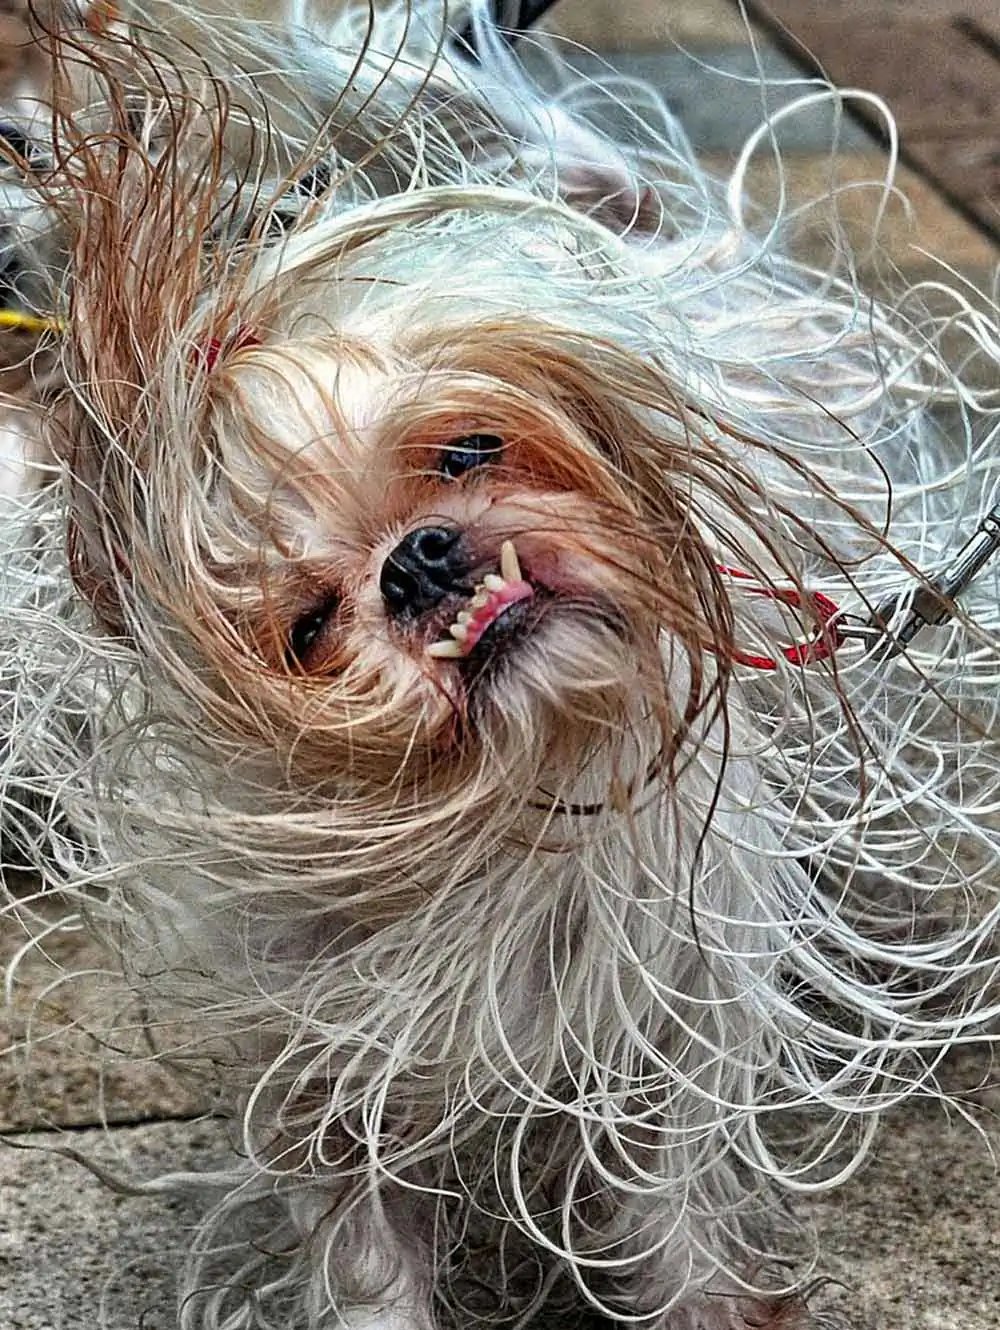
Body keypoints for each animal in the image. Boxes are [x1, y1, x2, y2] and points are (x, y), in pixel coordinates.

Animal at [3, 3, 1000, 1328]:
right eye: (306, 626)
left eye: (470, 447)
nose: (417, 561)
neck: (520, 801)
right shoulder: (333, 1059)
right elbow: (361, 1242)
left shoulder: (672, 1012)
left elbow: (676, 1201)